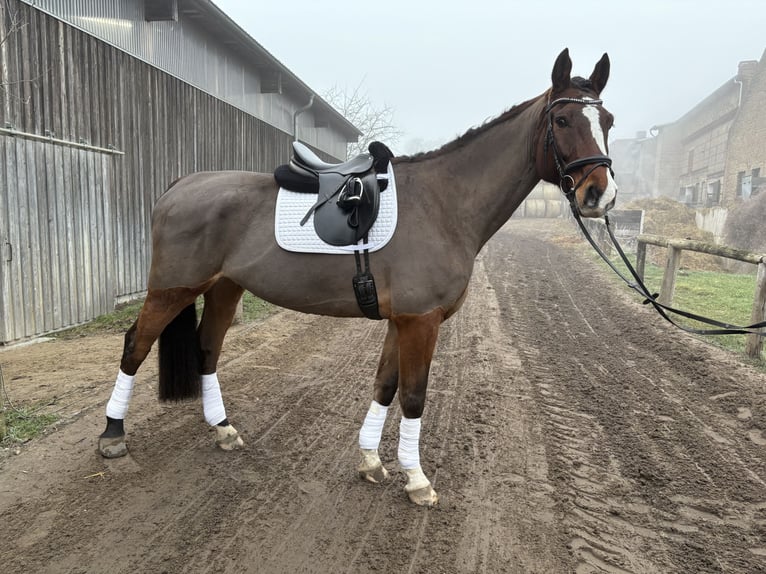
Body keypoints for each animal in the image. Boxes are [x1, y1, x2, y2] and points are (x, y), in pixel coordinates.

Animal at [100, 49, 616, 508]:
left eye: (607, 121)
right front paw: (417, 480)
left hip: (225, 288)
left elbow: (384, 385)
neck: (444, 203)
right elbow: (413, 396)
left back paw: (223, 429)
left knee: (207, 348)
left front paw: (370, 461)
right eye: (563, 121)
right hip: (172, 289)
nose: (600, 195)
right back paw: (112, 436)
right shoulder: (420, 321)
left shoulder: (402, 321)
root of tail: (180, 186)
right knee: (135, 345)